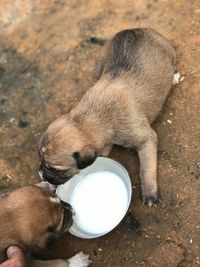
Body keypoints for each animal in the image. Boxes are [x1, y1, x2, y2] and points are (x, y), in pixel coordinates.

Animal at [38, 27, 180, 207]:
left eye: (55, 169)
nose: (41, 173)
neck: (90, 116)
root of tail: (130, 29)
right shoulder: (104, 145)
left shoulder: (146, 140)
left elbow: (145, 169)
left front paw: (149, 192)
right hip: (101, 63)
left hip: (168, 49)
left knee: (172, 61)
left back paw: (174, 75)